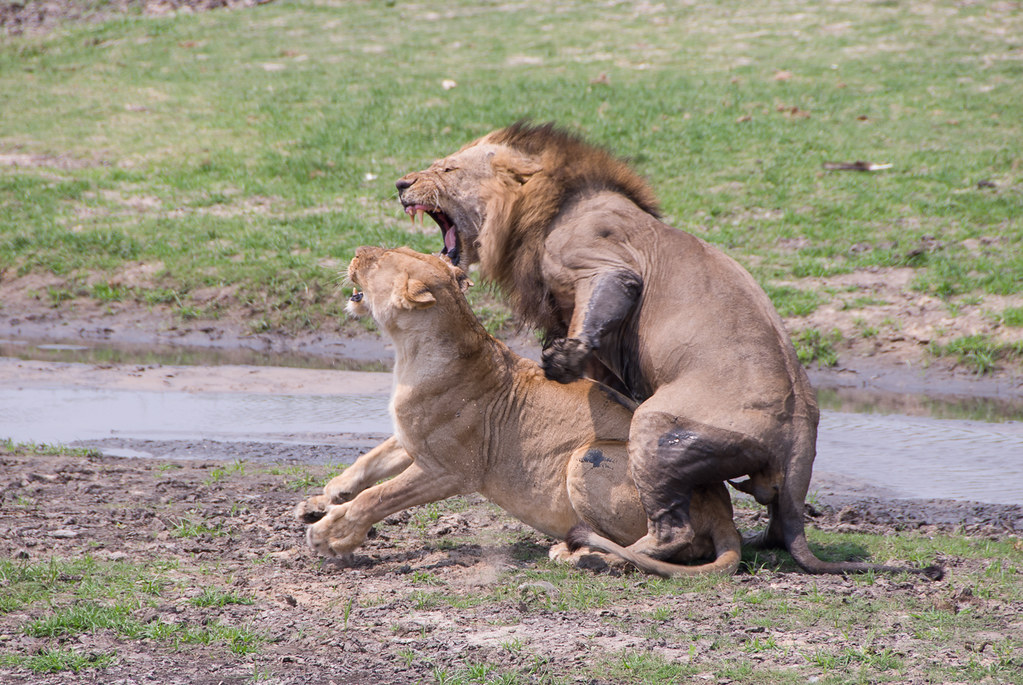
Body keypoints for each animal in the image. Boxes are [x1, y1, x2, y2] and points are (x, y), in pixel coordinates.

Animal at [296, 246, 741, 577]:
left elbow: (379, 496)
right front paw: (322, 500)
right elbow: (367, 463)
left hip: (588, 457)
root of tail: (724, 511)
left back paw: (581, 556)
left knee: (669, 545)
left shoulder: (451, 470)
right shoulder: (412, 438)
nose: (357, 252)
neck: (411, 350)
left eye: (376, 262)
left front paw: (329, 535)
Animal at [393, 122, 941, 579]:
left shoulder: (603, 261)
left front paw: (561, 360)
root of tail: (799, 428)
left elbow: (606, 298)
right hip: (755, 477)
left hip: (656, 429)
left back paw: (592, 554)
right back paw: (762, 542)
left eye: (447, 168)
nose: (400, 184)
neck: (542, 209)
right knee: (775, 521)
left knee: (670, 532)